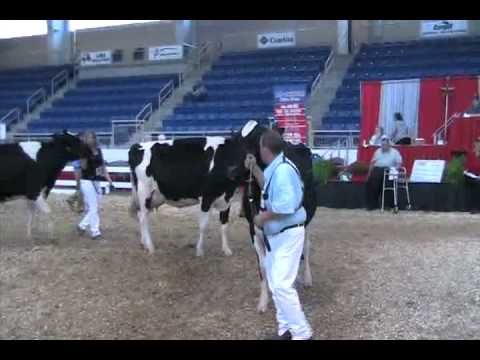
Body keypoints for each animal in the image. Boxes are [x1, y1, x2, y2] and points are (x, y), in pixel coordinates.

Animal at [239, 121, 316, 312]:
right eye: (235, 138)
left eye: (255, 139)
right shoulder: (253, 229)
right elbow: (263, 266)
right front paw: (263, 302)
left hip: (307, 222)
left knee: (306, 247)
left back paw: (307, 278)